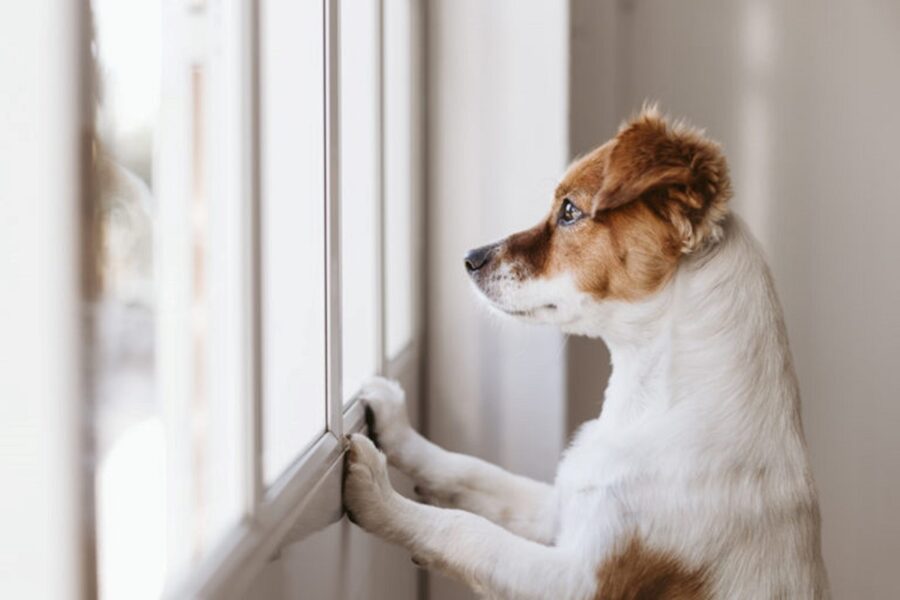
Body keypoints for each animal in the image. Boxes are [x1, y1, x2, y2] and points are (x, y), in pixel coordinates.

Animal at [342, 108, 828, 600]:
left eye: (570, 211)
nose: (469, 258)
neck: (649, 406)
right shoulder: (559, 509)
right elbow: (470, 471)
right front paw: (396, 426)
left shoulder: (580, 580)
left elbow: (467, 531)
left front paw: (378, 495)